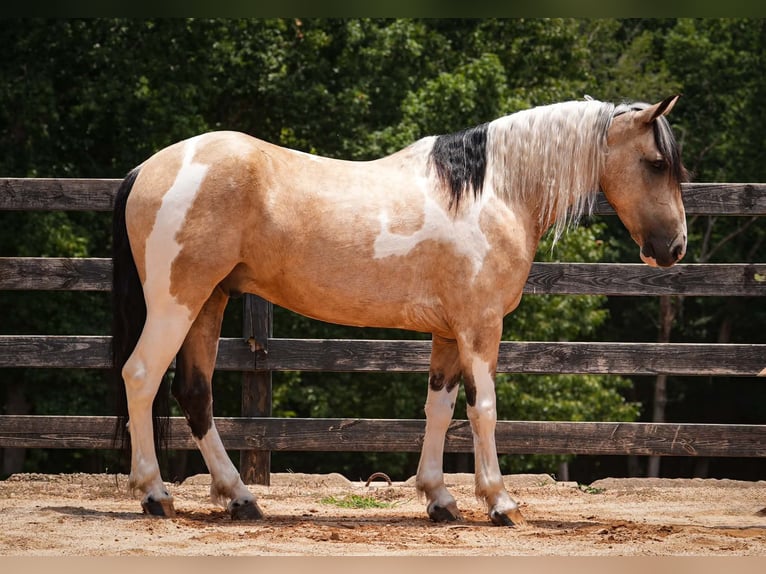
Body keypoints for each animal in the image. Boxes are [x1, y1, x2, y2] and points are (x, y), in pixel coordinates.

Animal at [111, 95, 688, 526]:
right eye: (657, 164)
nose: (675, 247)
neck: (494, 193)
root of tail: (148, 167)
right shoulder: (481, 326)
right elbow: (483, 409)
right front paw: (501, 503)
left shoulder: (449, 333)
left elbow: (440, 408)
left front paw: (440, 499)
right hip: (177, 301)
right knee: (141, 376)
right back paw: (155, 494)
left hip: (210, 300)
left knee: (195, 393)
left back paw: (240, 497)